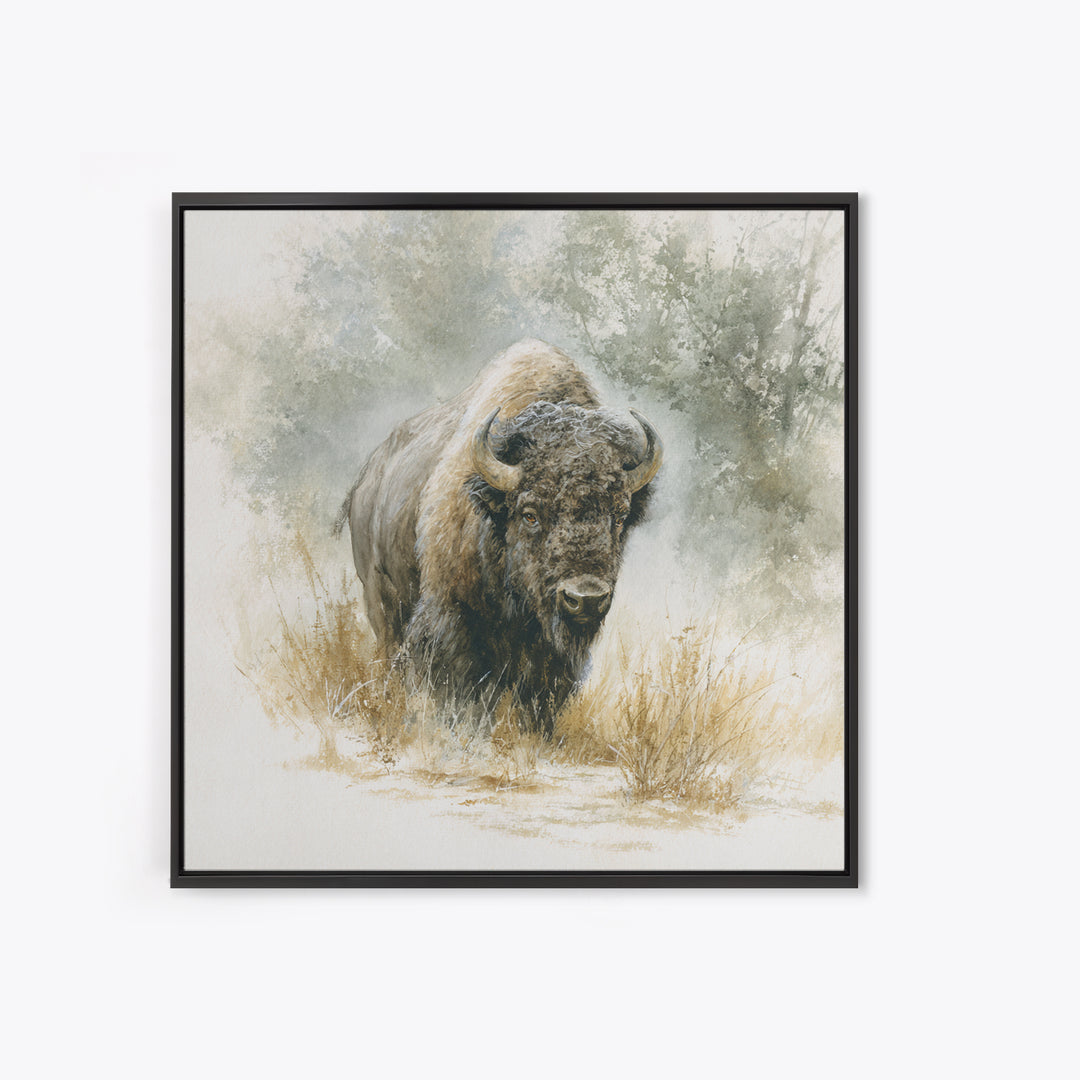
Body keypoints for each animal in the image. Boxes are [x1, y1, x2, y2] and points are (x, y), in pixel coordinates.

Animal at [334, 339, 662, 731]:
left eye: (620, 515)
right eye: (530, 514)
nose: (585, 599)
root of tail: (365, 480)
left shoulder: (549, 656)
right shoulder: (452, 619)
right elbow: (462, 691)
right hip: (381, 600)